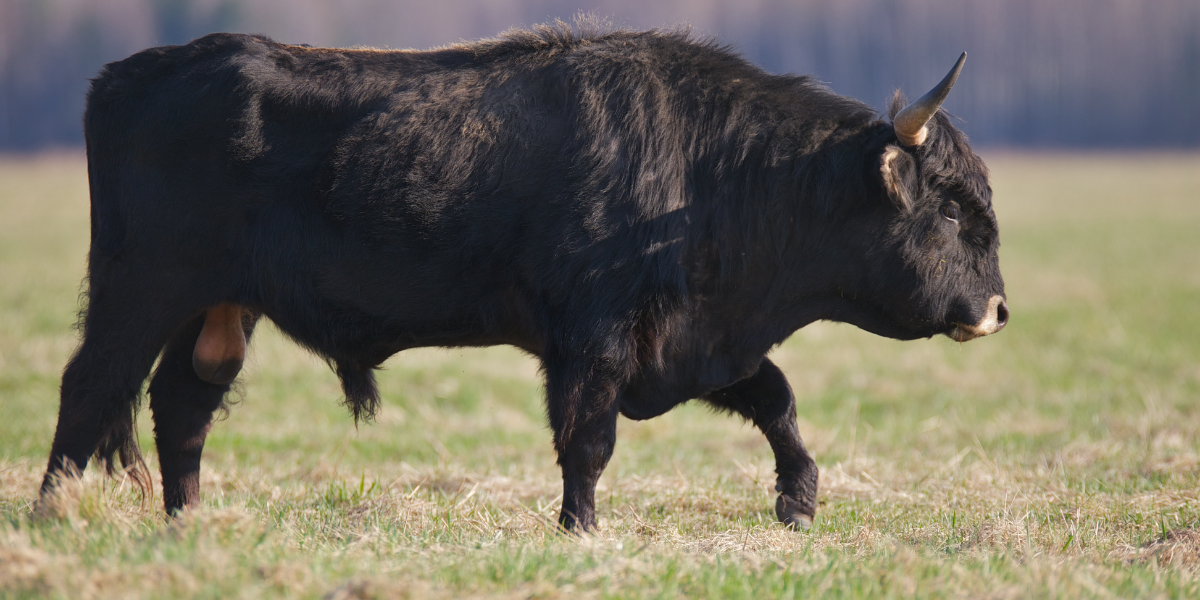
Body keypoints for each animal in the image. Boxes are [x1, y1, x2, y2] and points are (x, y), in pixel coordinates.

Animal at [39, 25, 1003, 530]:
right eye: (953, 208)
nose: (996, 309)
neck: (717, 170)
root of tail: (133, 72)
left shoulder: (693, 343)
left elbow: (777, 401)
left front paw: (798, 502)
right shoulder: (595, 343)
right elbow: (588, 441)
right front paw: (581, 530)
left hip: (216, 309)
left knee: (181, 402)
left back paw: (188, 521)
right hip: (140, 291)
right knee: (90, 389)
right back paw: (52, 512)